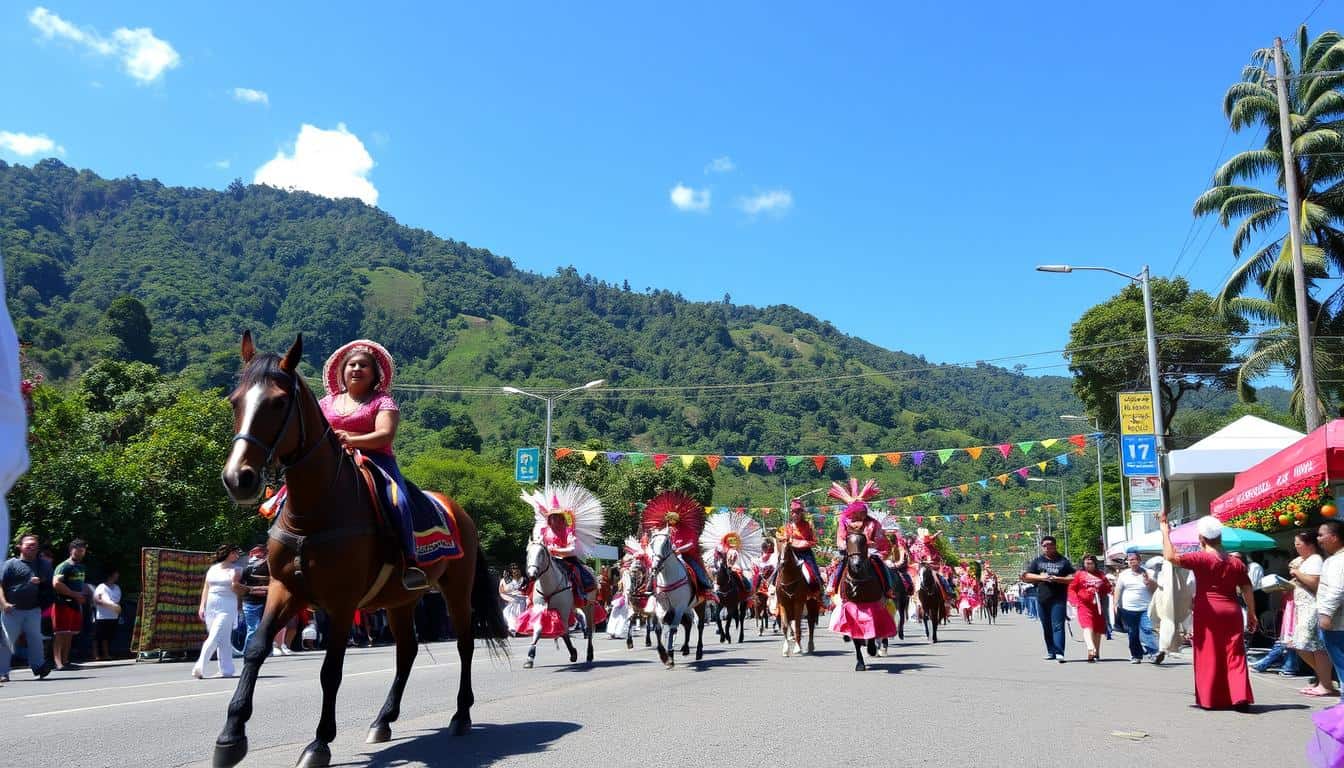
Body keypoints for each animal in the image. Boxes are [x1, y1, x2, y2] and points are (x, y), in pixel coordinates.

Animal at [215, 334, 508, 768]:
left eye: (278, 403)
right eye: (235, 400)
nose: (239, 478)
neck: (315, 509)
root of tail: (458, 510)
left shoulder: (341, 602)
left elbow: (330, 671)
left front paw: (319, 743)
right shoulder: (284, 589)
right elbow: (255, 649)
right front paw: (231, 736)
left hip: (456, 591)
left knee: (464, 645)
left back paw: (460, 715)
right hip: (402, 600)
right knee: (406, 651)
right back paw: (383, 720)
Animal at [518, 538, 594, 669]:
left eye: (541, 554)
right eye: (528, 553)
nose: (532, 574)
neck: (549, 585)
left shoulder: (563, 610)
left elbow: (564, 631)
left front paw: (573, 653)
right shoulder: (540, 609)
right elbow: (539, 629)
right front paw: (529, 658)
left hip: (588, 606)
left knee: (589, 629)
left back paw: (589, 654)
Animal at [647, 529, 709, 667]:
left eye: (666, 543)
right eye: (651, 543)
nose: (655, 566)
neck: (668, 579)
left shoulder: (679, 607)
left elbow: (673, 629)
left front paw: (670, 656)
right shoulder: (661, 608)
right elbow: (658, 629)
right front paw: (663, 655)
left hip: (699, 605)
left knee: (699, 625)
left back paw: (698, 652)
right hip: (687, 608)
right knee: (687, 624)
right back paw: (685, 648)